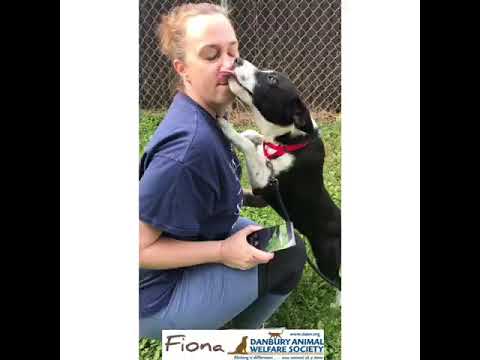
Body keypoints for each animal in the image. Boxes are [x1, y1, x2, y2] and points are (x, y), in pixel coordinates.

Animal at [218, 57, 342, 292]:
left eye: (272, 79)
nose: (237, 59)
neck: (292, 141)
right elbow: (254, 138)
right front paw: (251, 135)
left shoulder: (263, 182)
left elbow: (248, 147)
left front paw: (226, 127)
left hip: (327, 259)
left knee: (338, 282)